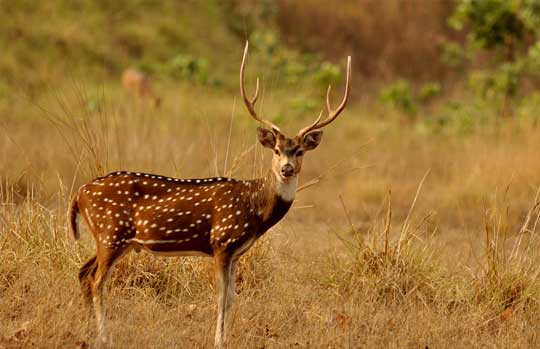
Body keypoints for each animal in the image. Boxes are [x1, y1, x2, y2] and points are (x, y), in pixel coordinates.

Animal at [68, 41, 350, 348]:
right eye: (276, 150)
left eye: (299, 151)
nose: (287, 168)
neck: (254, 207)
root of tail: (79, 194)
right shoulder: (221, 241)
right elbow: (221, 298)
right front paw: (218, 341)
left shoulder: (237, 252)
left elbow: (233, 299)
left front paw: (227, 337)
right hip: (111, 233)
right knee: (97, 281)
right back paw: (104, 336)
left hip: (113, 239)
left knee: (83, 272)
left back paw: (88, 330)